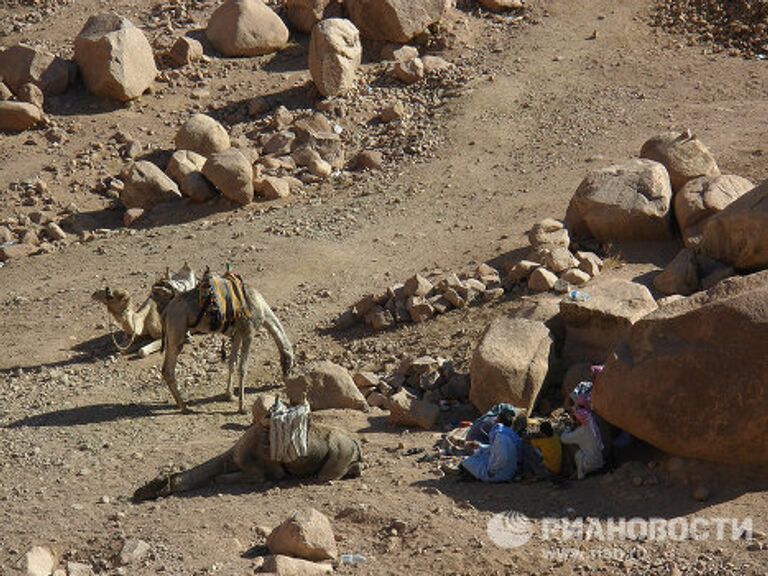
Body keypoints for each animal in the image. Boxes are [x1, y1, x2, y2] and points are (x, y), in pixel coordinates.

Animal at [132, 408, 364, 502]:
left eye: (156, 483)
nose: (137, 493)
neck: (231, 457)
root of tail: (354, 441)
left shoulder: (257, 472)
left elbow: (219, 478)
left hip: (339, 452)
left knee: (327, 475)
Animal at [162, 270, 294, 414]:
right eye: (292, 361)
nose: (286, 377)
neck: (262, 309)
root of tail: (167, 311)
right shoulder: (249, 332)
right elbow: (243, 368)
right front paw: (242, 407)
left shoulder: (237, 334)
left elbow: (232, 362)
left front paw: (230, 396)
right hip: (177, 331)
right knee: (168, 369)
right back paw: (184, 407)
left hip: (172, 335)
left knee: (165, 368)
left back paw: (180, 404)